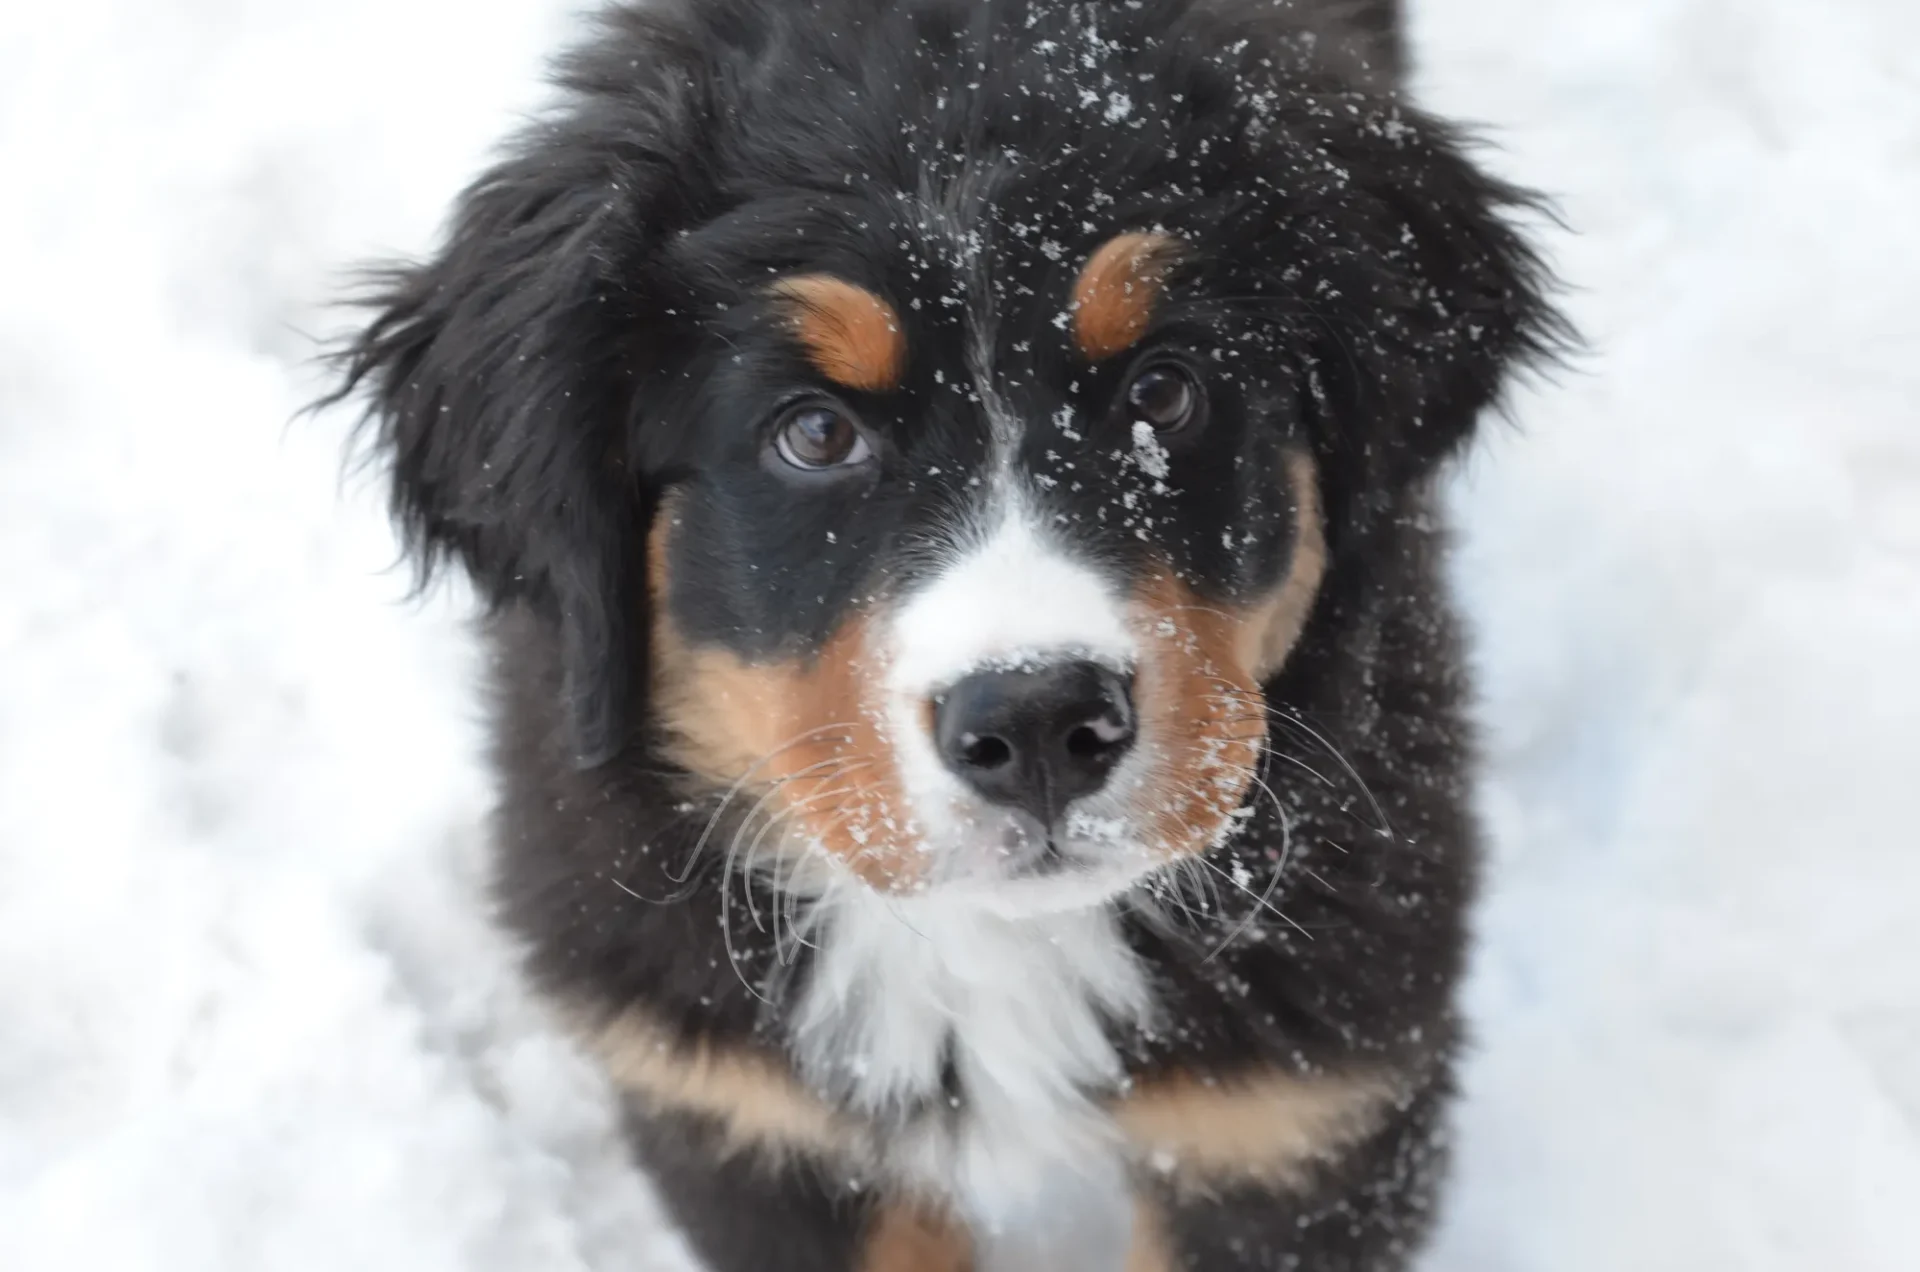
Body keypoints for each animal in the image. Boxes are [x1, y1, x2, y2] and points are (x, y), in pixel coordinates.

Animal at [330, 0, 1559, 1268]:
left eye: (1163, 391)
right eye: (815, 433)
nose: (1040, 721)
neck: (995, 945)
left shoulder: (1301, 1125)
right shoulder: (752, 1120)